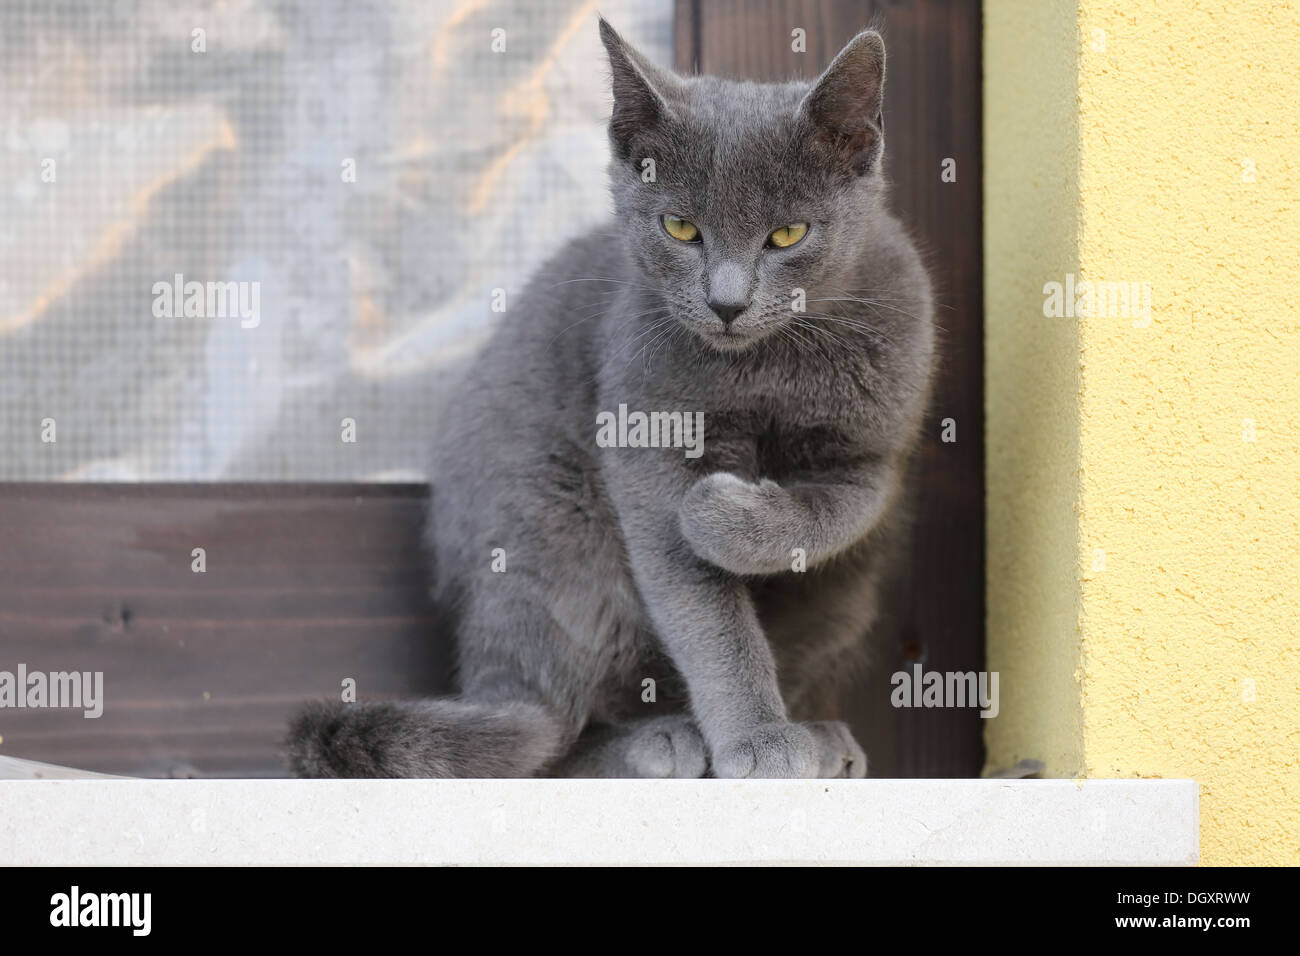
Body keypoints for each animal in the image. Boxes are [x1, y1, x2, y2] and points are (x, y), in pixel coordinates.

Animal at [286, 20, 935, 780]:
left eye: (787, 235)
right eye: (680, 228)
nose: (727, 304)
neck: (769, 368)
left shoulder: (878, 448)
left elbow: (844, 507)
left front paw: (724, 514)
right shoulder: (644, 446)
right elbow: (706, 615)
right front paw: (756, 738)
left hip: (846, 597)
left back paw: (821, 738)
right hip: (553, 528)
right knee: (549, 738)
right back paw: (661, 740)